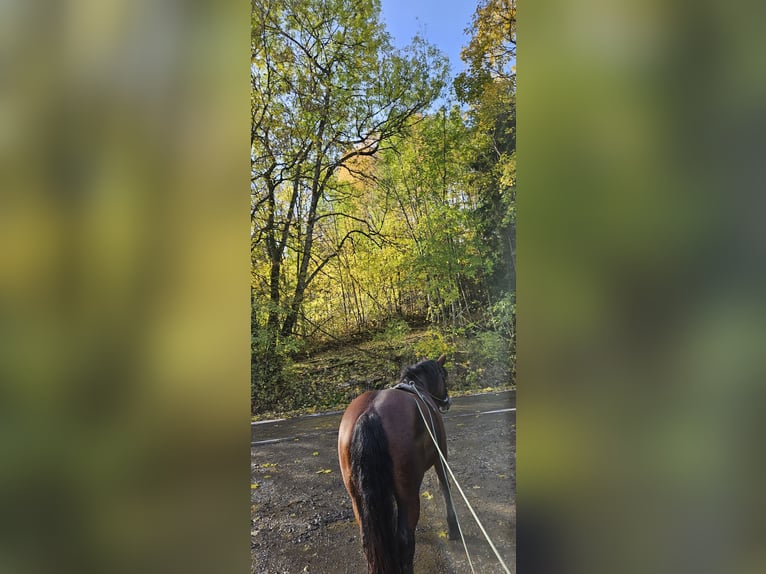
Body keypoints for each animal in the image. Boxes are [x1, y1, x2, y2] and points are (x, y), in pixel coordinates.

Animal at [338, 356, 460, 574]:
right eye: (443, 375)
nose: (447, 400)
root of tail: (370, 413)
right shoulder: (440, 457)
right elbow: (445, 487)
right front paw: (454, 529)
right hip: (408, 493)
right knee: (404, 539)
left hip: (357, 498)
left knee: (368, 540)